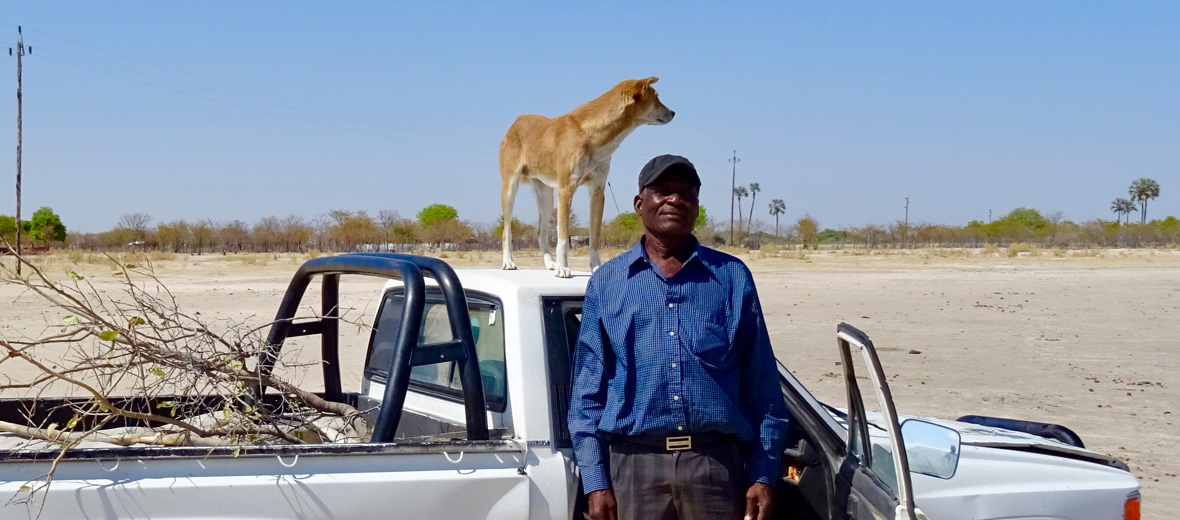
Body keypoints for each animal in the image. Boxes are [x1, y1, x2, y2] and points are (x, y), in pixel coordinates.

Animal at [502, 76, 679, 275]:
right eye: (657, 96)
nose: (673, 113)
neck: (592, 136)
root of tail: (517, 121)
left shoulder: (597, 191)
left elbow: (594, 237)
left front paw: (595, 267)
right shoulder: (566, 189)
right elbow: (563, 238)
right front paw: (563, 268)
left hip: (546, 196)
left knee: (541, 233)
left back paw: (549, 263)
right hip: (510, 188)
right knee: (506, 231)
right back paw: (509, 262)